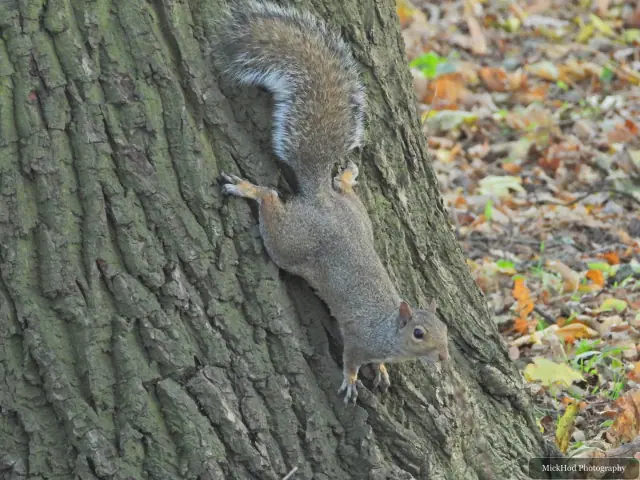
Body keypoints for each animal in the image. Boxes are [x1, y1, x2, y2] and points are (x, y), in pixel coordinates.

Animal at [218, 0, 449, 404]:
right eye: (419, 333)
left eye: (444, 328)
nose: (444, 356)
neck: (388, 330)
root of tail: (319, 198)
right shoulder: (358, 340)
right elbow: (351, 360)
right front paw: (353, 381)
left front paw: (383, 371)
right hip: (290, 242)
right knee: (271, 199)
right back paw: (249, 189)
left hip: (358, 217)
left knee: (339, 192)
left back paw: (344, 177)